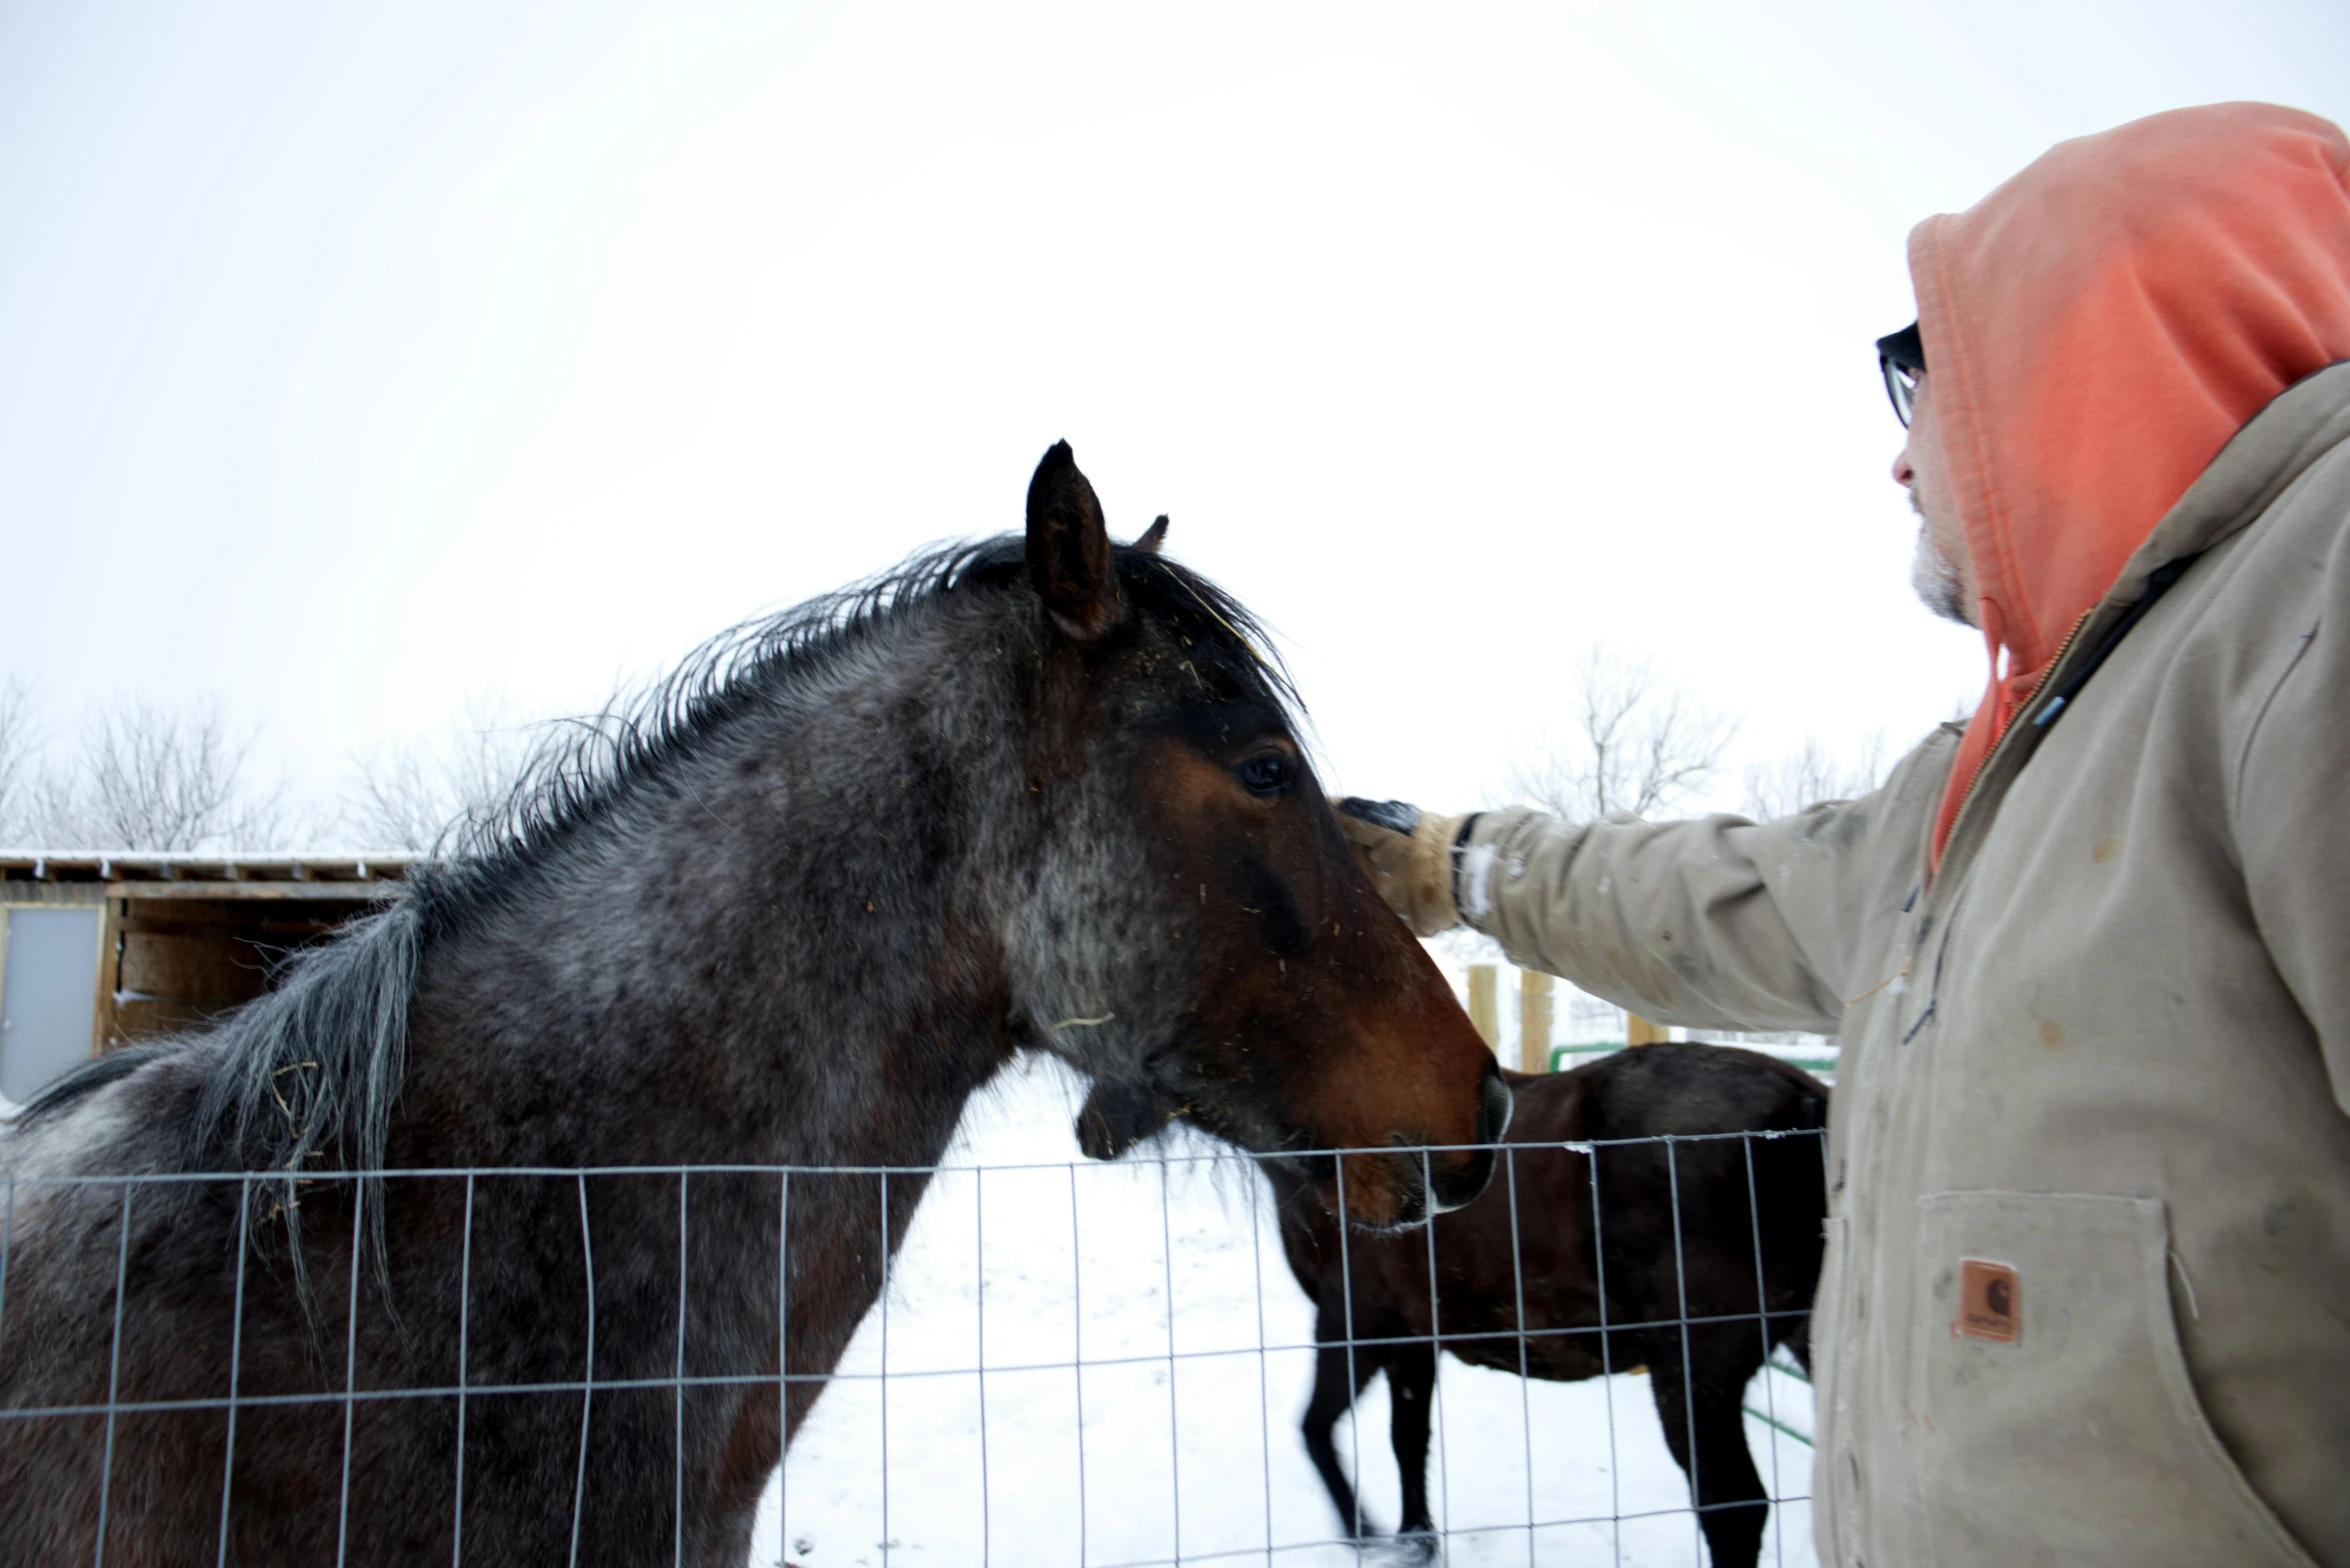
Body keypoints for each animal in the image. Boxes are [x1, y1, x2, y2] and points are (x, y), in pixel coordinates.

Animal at [1081, 1043, 1832, 1568]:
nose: (1089, 1130)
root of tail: (1803, 1103)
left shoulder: (1353, 1326)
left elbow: (1316, 1429)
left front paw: (1365, 1532)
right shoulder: (1413, 1340)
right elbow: (1408, 1441)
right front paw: (1417, 1541)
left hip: (1693, 1375)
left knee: (1734, 1509)